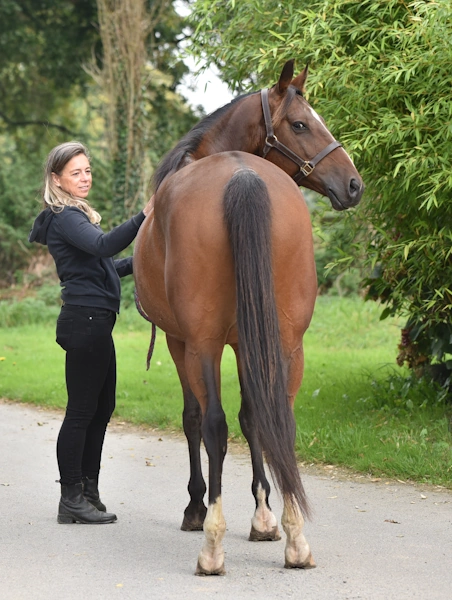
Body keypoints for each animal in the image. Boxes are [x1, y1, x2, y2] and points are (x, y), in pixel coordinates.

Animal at [133, 58, 364, 576]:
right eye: (300, 124)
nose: (354, 184)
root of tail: (242, 177)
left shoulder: (183, 341)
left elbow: (196, 419)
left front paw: (197, 509)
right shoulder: (245, 340)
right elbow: (256, 416)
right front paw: (265, 517)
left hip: (202, 344)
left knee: (213, 425)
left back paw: (212, 546)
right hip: (288, 341)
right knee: (283, 419)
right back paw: (296, 540)